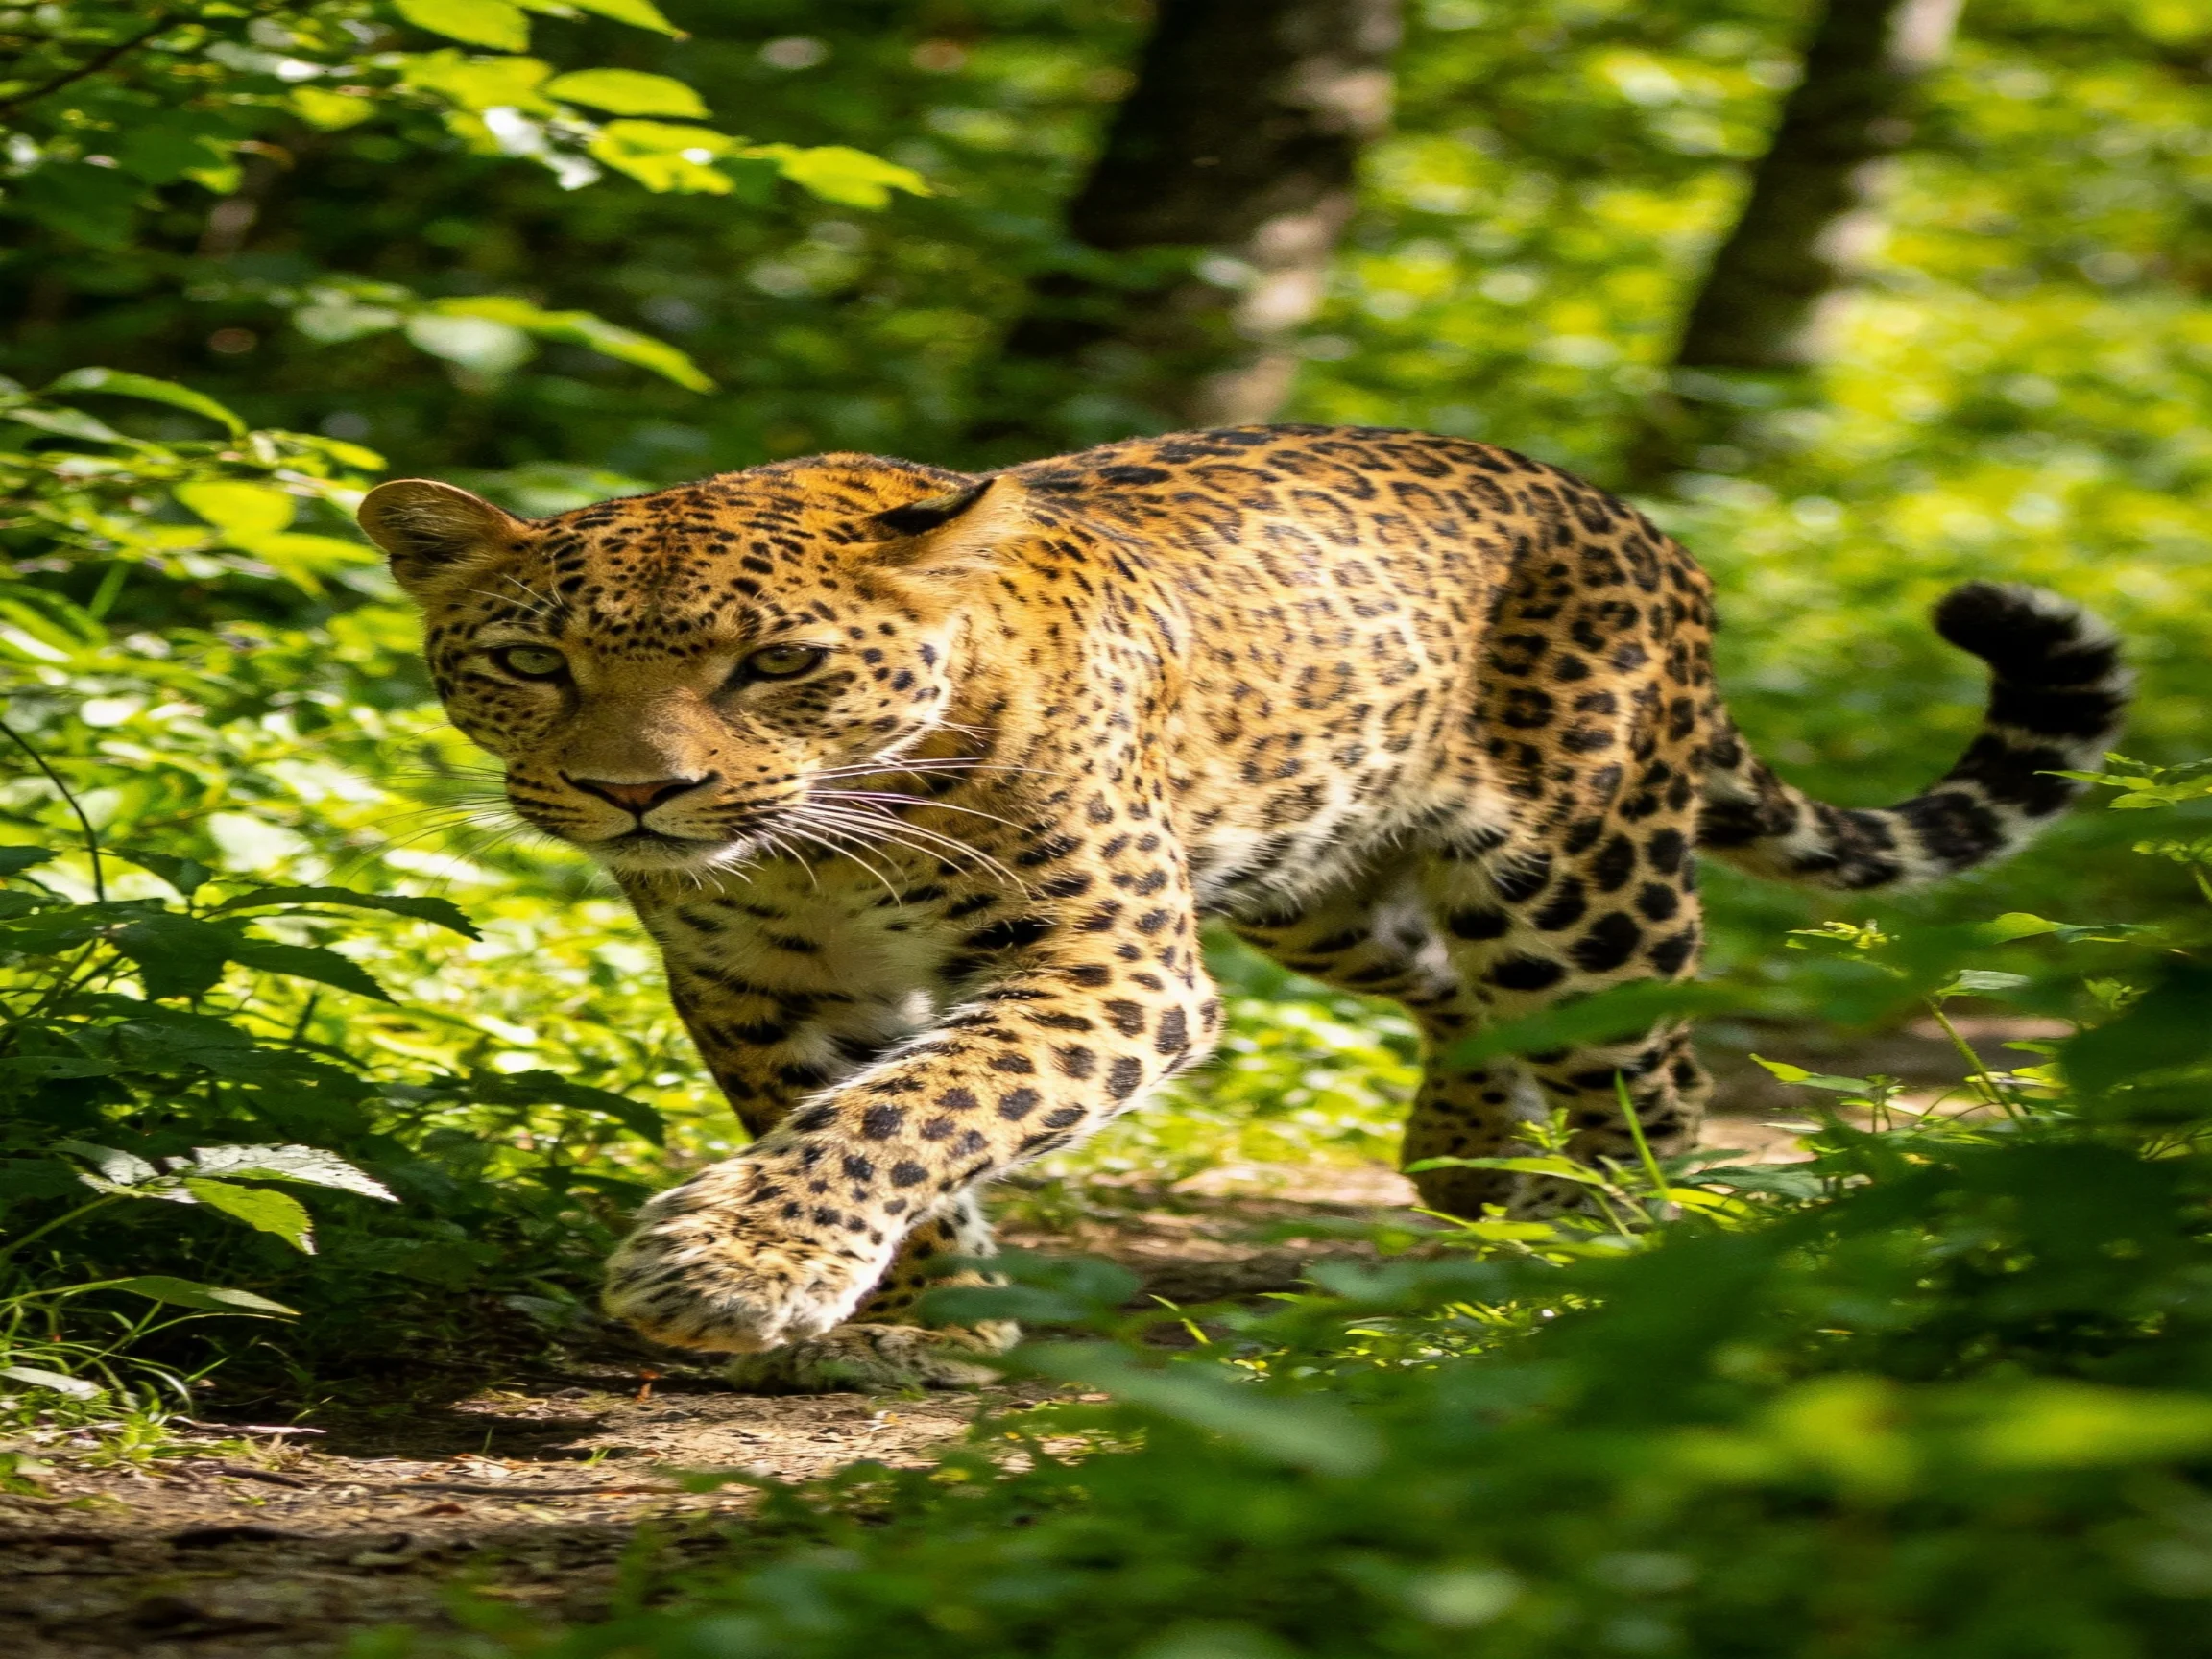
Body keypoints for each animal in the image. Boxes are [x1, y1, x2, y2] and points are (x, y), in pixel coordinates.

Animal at [357, 423, 2129, 1392]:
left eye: (777, 663)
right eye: (530, 661)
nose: (634, 796)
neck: (824, 848)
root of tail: (1625, 515)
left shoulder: (1109, 962)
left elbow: (918, 1107)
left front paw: (736, 1259)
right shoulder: (760, 990)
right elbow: (874, 1120)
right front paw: (915, 1315)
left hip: (1579, 889)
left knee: (1651, 1069)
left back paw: (1617, 1241)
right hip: (1309, 884)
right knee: (1445, 988)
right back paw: (1473, 1164)